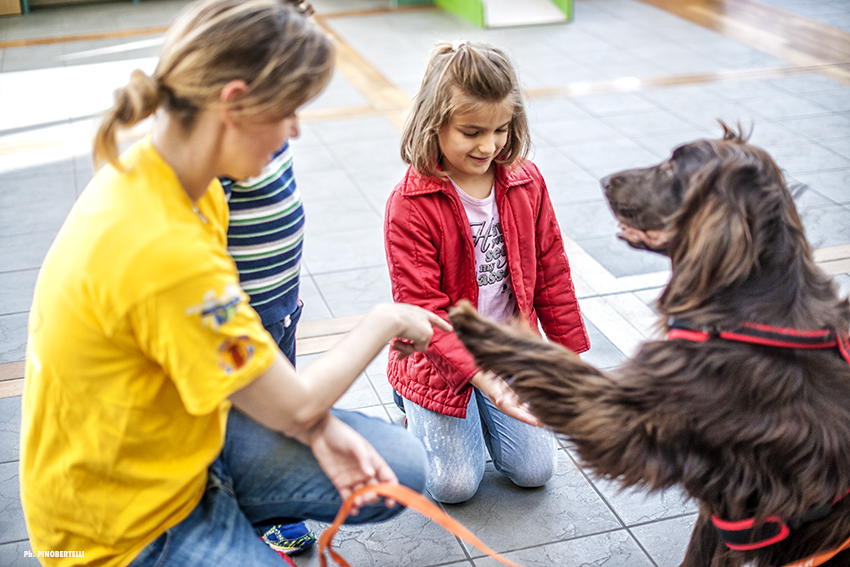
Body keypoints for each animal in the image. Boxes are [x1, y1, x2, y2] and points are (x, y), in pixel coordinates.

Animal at [448, 125, 844, 567]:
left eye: (673, 167)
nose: (605, 180)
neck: (753, 306)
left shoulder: (630, 418)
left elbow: (556, 363)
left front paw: (482, 328)